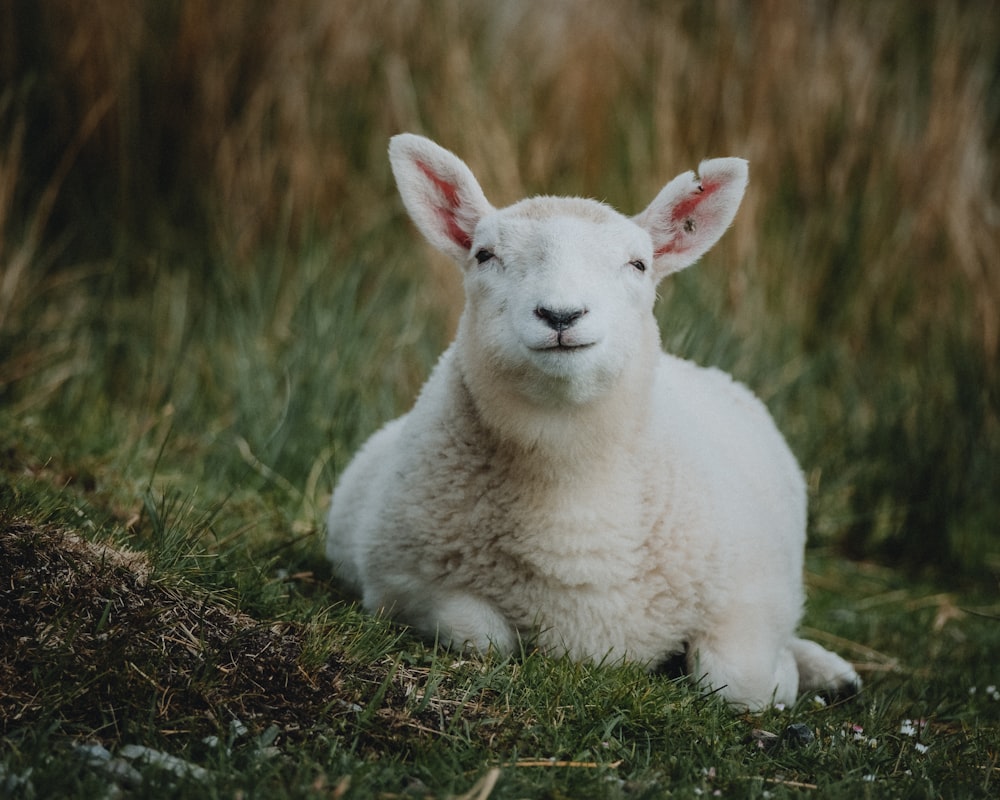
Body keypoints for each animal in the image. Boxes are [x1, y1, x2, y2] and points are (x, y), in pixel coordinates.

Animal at [328, 134, 860, 708]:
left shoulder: (750, 596)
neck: (572, 491)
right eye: (484, 255)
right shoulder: (400, 583)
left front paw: (785, 671)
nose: (561, 315)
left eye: (639, 264)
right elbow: (483, 636)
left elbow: (741, 681)